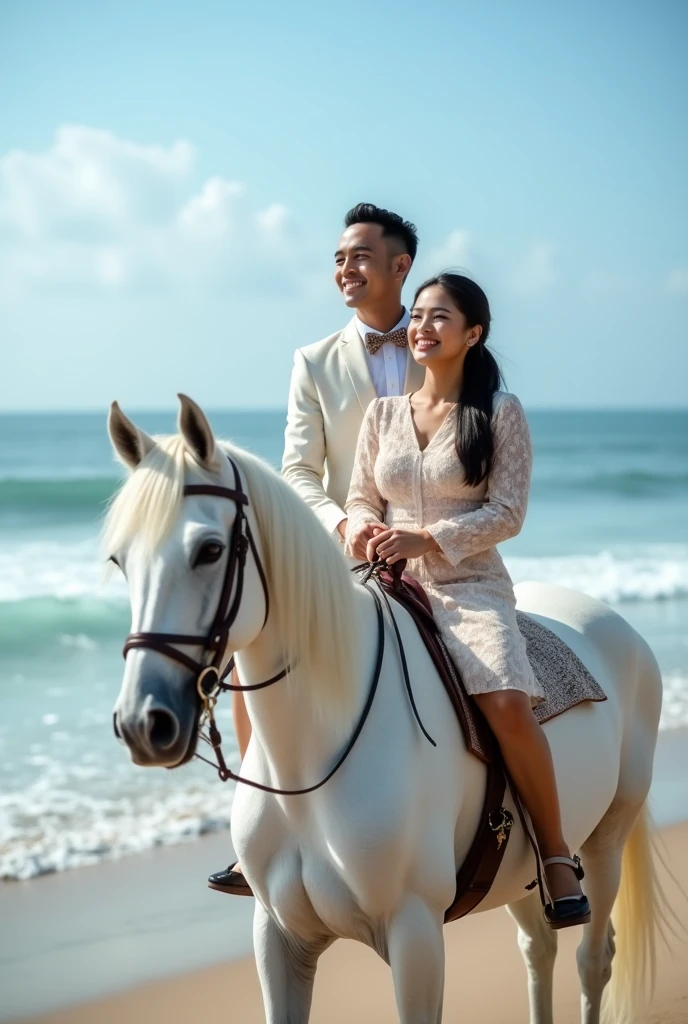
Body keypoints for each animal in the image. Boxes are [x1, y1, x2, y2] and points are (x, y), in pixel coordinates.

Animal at [105, 393, 667, 1024]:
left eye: (209, 550)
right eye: (120, 560)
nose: (144, 723)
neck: (312, 766)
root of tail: (614, 623)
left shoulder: (415, 935)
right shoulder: (278, 937)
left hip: (606, 840)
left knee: (592, 958)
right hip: (517, 873)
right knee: (537, 948)